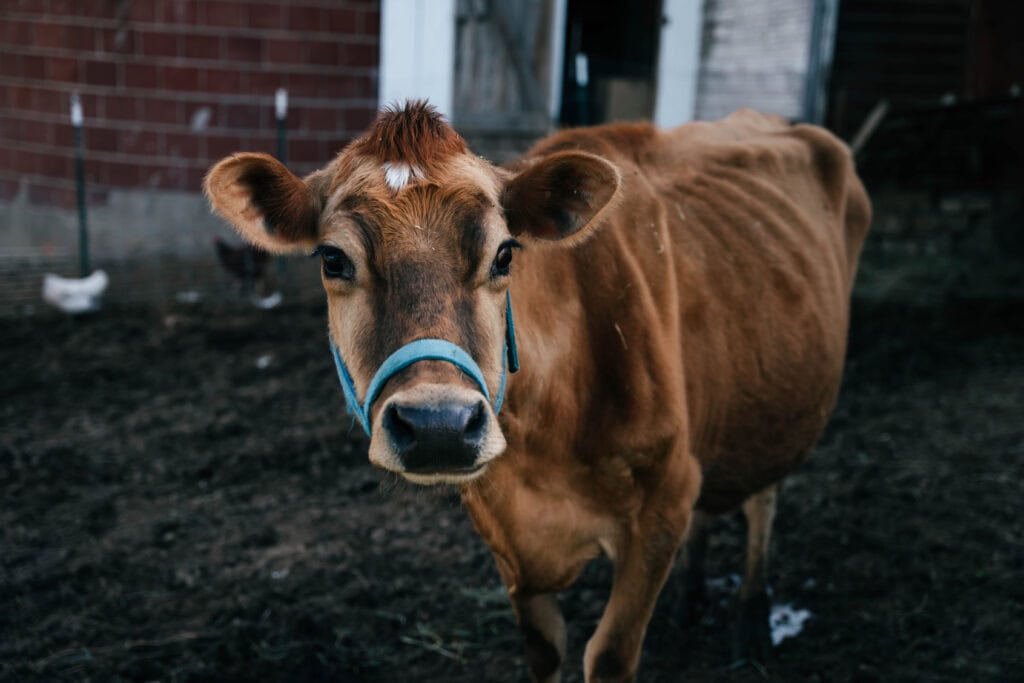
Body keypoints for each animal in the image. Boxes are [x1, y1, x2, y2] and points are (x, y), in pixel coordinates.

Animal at [204, 101, 870, 682]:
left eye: (504, 254)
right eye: (333, 259)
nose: (439, 425)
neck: (547, 438)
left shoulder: (662, 502)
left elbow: (609, 654)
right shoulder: (507, 536)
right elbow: (545, 649)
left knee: (764, 496)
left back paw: (753, 616)